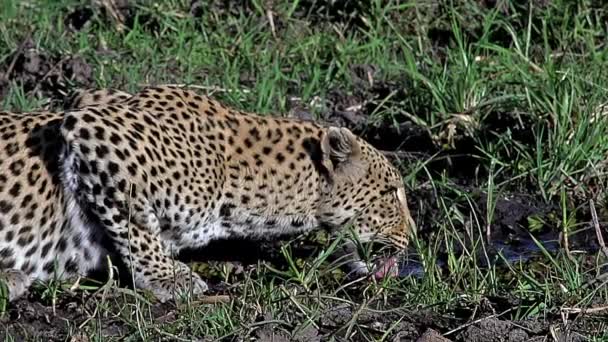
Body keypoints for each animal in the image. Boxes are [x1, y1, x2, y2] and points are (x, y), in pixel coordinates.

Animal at [0, 85, 416, 302]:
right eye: (391, 192)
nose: (412, 236)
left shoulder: (88, 98)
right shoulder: (92, 132)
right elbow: (137, 226)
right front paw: (168, 277)